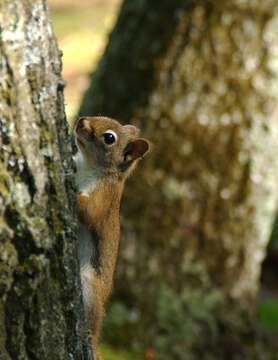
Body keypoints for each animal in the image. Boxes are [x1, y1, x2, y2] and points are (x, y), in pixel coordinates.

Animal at [73, 116, 149, 358]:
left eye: (109, 138)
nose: (81, 121)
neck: (89, 165)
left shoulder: (104, 196)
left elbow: (89, 212)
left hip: (88, 283)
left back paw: (89, 334)